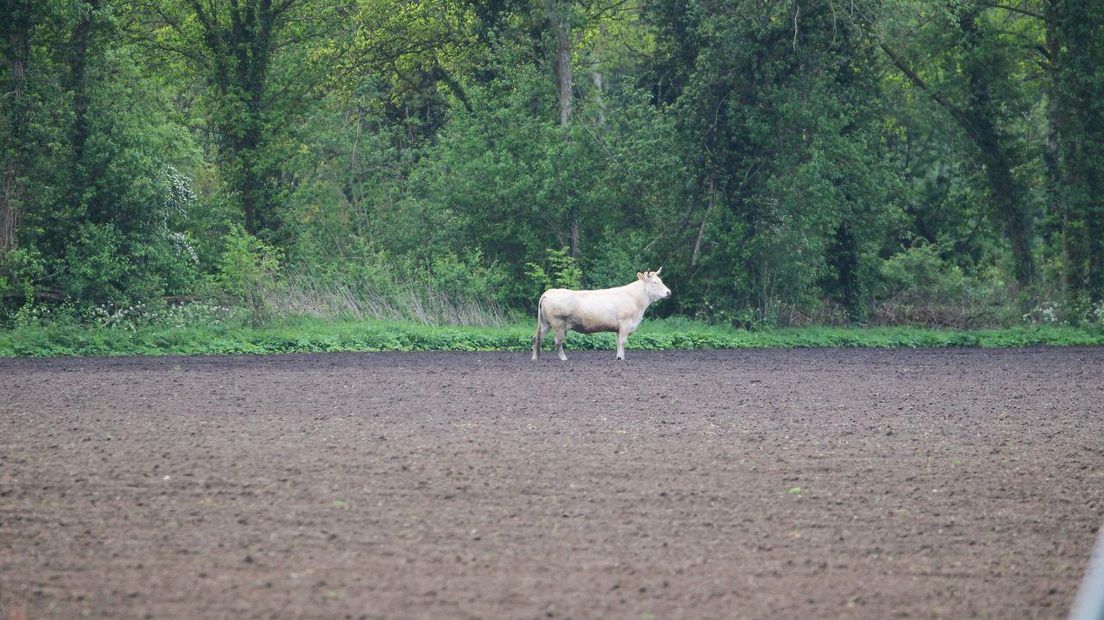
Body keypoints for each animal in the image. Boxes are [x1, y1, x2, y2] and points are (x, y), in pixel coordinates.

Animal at [527, 266, 666, 361]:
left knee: (536, 338)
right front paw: (621, 358)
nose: (668, 292)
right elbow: (622, 341)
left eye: (661, 280)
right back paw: (563, 358)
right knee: (557, 341)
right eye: (654, 282)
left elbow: (618, 342)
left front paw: (618, 357)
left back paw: (534, 358)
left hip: (545, 324)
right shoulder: (625, 323)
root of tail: (549, 292)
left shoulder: (619, 328)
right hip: (558, 324)